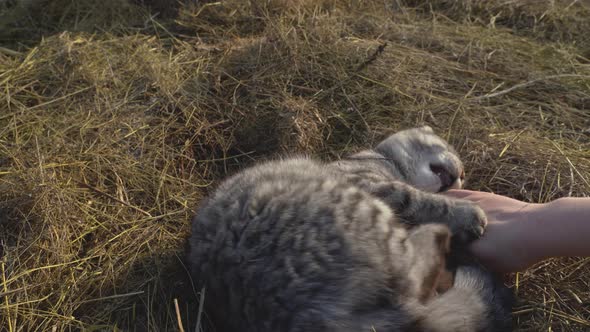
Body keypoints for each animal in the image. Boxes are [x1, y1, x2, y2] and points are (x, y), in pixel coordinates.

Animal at [190, 126, 512, 332]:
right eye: (447, 147)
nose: (462, 175)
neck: (380, 159)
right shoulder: (373, 184)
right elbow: (419, 199)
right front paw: (467, 214)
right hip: (370, 215)